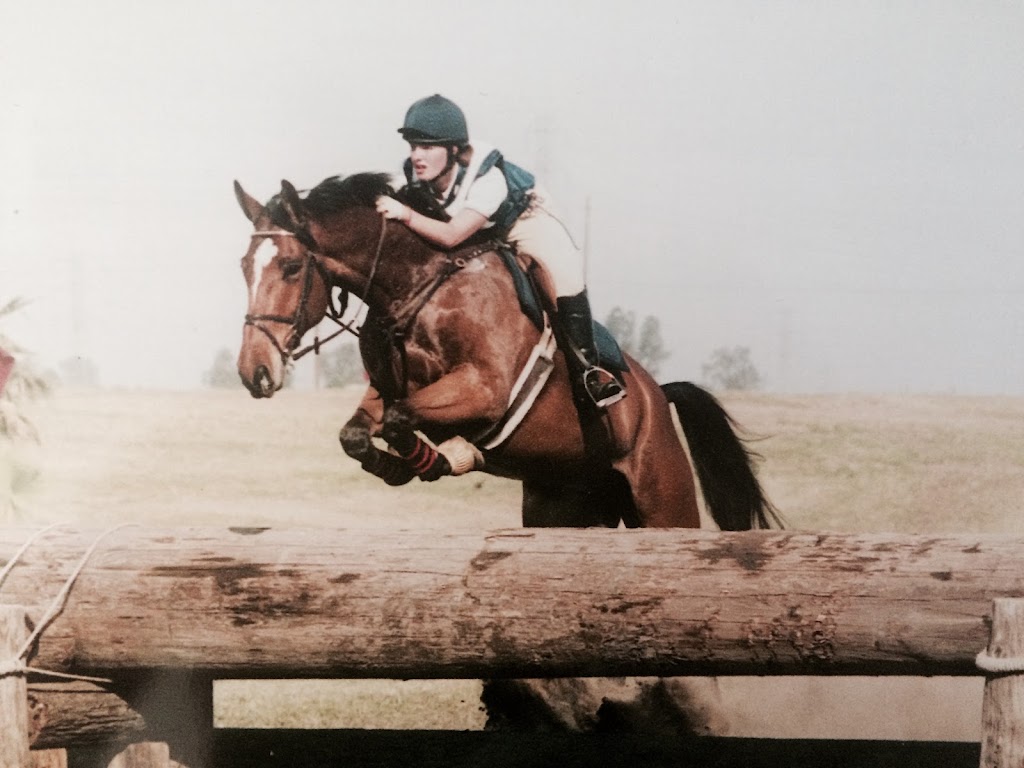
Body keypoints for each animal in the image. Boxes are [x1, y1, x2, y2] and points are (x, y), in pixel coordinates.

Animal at [233, 172, 781, 532]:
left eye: (290, 267)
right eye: (243, 265)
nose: (253, 372)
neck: (416, 284)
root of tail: (657, 397)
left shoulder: (486, 389)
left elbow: (400, 417)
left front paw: (446, 456)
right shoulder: (384, 388)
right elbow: (359, 431)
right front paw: (401, 466)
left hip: (663, 502)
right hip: (564, 507)